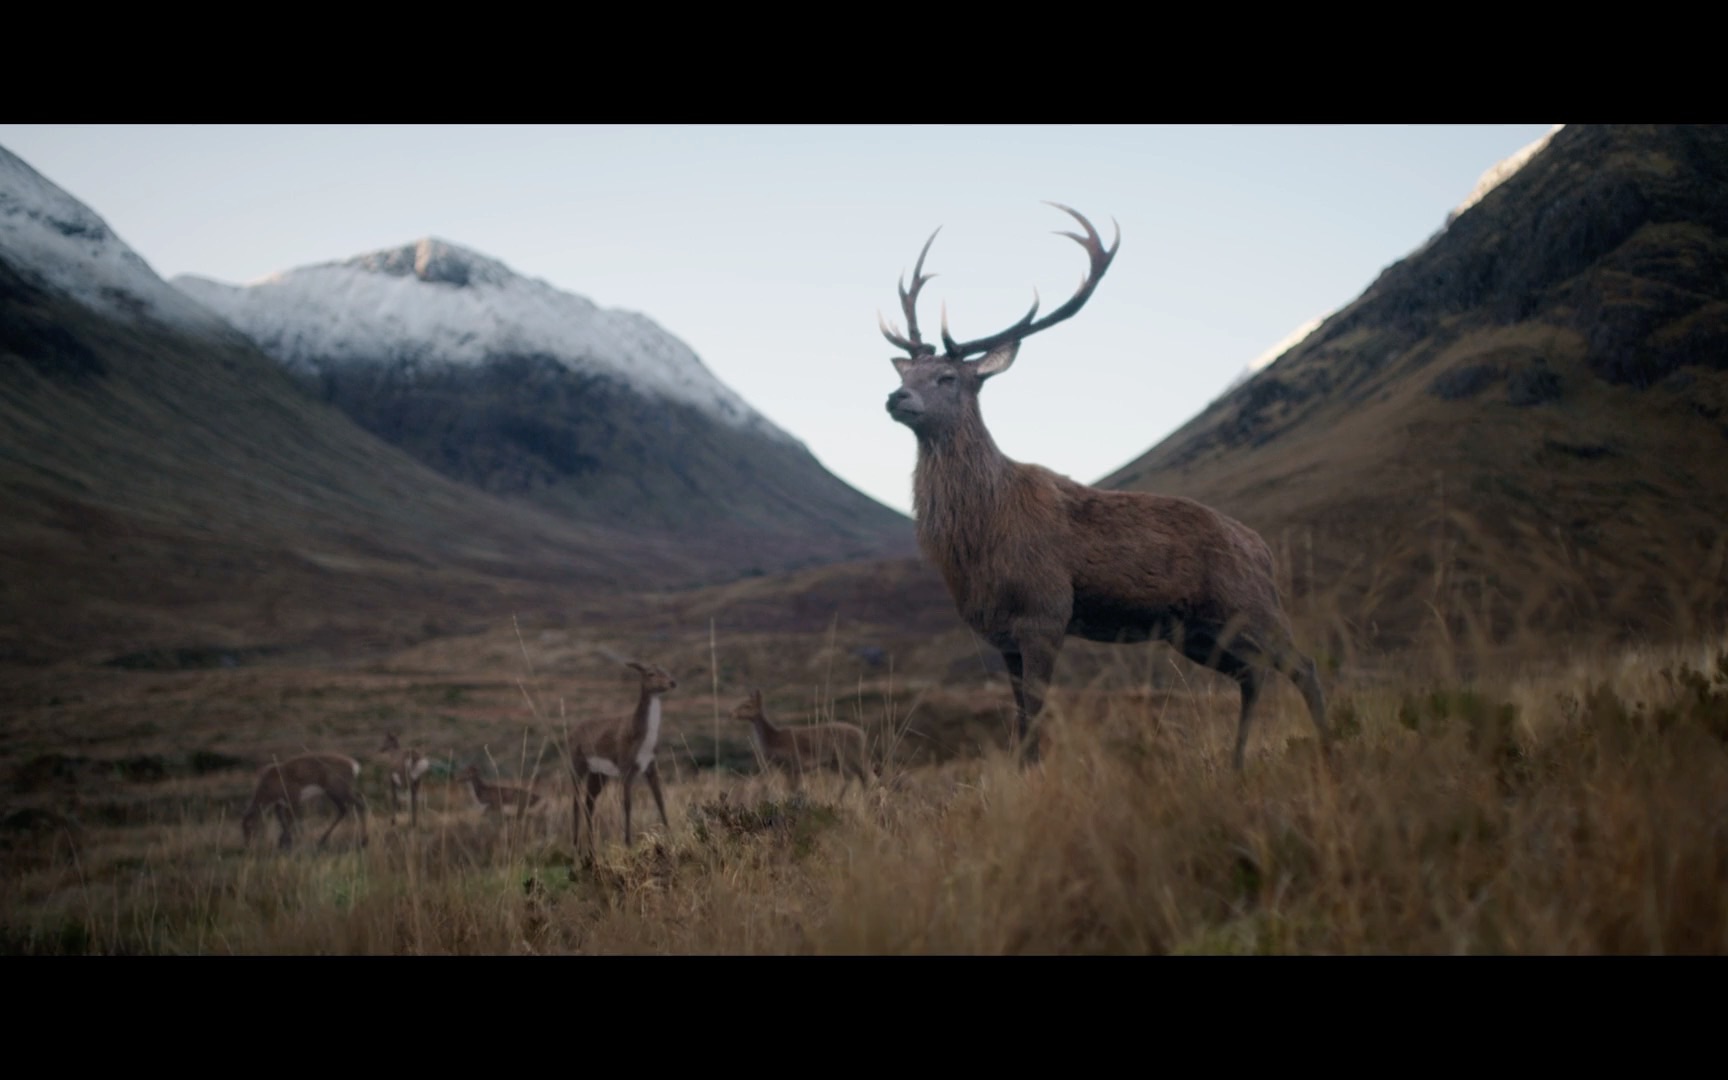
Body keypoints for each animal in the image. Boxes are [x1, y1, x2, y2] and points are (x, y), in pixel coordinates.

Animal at [241, 749, 369, 850]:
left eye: (249, 826)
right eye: (242, 827)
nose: (247, 845)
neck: (270, 783)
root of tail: (354, 765)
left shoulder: (294, 799)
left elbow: (290, 818)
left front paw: (285, 842)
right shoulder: (281, 803)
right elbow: (281, 818)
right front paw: (284, 841)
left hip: (339, 792)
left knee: (359, 805)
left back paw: (364, 841)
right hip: (335, 793)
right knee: (344, 809)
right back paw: (322, 840)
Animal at [566, 656, 673, 850]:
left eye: (666, 670)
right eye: (650, 673)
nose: (672, 682)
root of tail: (570, 733)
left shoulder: (651, 766)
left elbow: (660, 800)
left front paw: (670, 834)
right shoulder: (626, 768)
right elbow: (627, 804)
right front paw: (628, 842)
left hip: (599, 774)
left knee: (588, 804)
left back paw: (591, 845)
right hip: (578, 766)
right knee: (576, 801)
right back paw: (576, 843)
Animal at [732, 687, 877, 794]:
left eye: (747, 705)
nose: (733, 713)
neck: (773, 739)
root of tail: (862, 735)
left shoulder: (791, 764)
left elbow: (792, 790)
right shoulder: (792, 769)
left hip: (847, 756)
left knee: (858, 776)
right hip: (835, 762)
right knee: (860, 777)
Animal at [877, 202, 1334, 770]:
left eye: (948, 378)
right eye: (907, 372)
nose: (896, 398)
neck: (980, 534)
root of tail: (1262, 547)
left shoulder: (1045, 611)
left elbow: (1035, 719)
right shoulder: (1002, 634)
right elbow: (1019, 721)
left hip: (1252, 605)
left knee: (1304, 666)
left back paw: (1331, 750)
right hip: (1198, 631)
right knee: (1253, 675)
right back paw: (1236, 764)